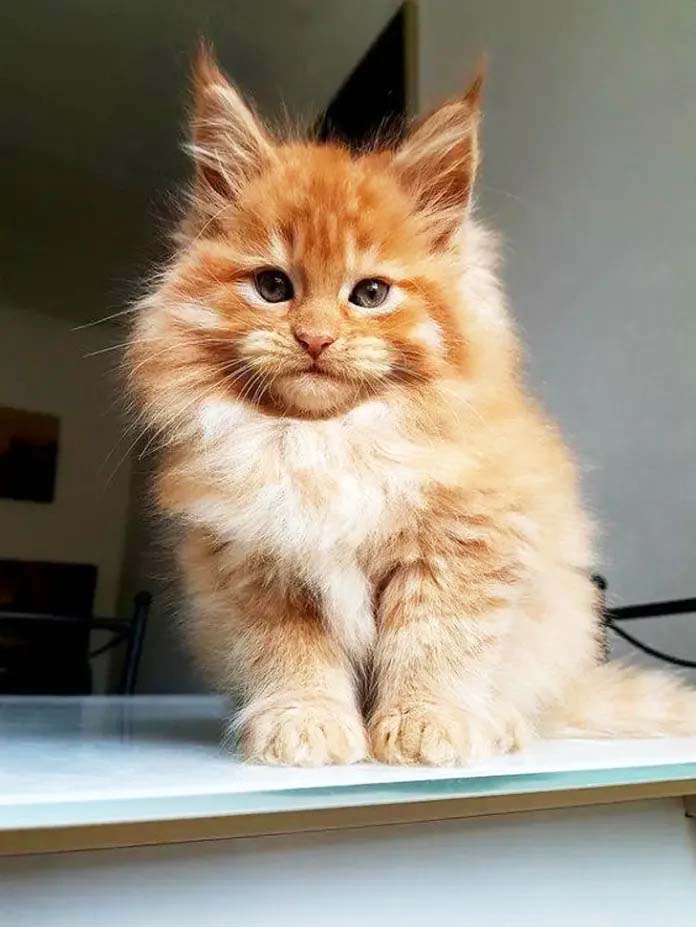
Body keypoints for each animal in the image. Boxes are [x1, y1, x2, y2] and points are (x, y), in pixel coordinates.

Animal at [126, 47, 696, 764]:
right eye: (273, 287)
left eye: (370, 294)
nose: (315, 338)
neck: (325, 444)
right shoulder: (256, 568)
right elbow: (293, 660)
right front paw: (305, 726)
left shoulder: (464, 546)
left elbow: (435, 646)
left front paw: (427, 725)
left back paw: (499, 723)